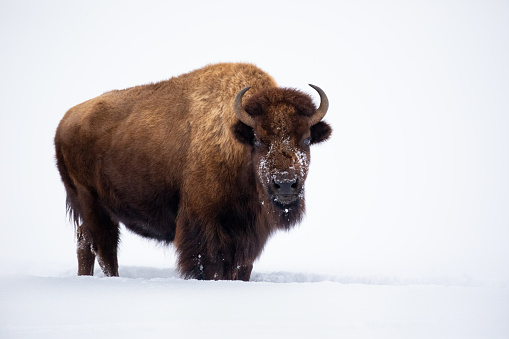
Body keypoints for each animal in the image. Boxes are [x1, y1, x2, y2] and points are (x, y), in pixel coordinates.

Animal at [55, 62, 332, 280]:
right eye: (258, 139)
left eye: (306, 139)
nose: (285, 184)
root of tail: (66, 120)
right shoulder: (204, 227)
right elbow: (209, 266)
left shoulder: (248, 233)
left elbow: (241, 268)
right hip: (91, 203)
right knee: (104, 247)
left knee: (86, 241)